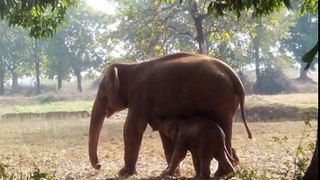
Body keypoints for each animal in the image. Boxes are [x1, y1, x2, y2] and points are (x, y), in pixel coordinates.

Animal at [88, 52, 252, 176]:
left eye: (102, 92)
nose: (99, 165)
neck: (129, 66)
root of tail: (232, 74)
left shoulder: (140, 96)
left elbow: (132, 128)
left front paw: (124, 173)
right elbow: (163, 132)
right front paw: (173, 173)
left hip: (219, 100)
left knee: (224, 127)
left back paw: (221, 173)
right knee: (226, 131)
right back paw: (228, 169)